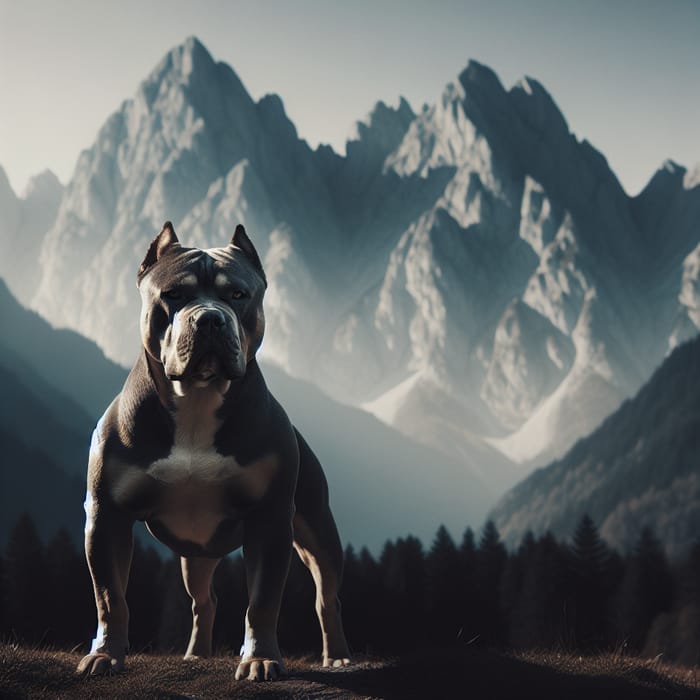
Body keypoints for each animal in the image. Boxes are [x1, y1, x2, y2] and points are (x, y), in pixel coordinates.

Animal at [78, 223, 350, 680]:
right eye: (173, 294)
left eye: (238, 294)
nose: (209, 317)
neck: (196, 400)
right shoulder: (106, 516)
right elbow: (110, 597)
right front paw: (105, 655)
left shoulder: (271, 519)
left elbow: (262, 602)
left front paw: (259, 659)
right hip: (196, 555)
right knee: (204, 601)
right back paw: (197, 654)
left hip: (318, 532)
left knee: (327, 598)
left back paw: (338, 656)